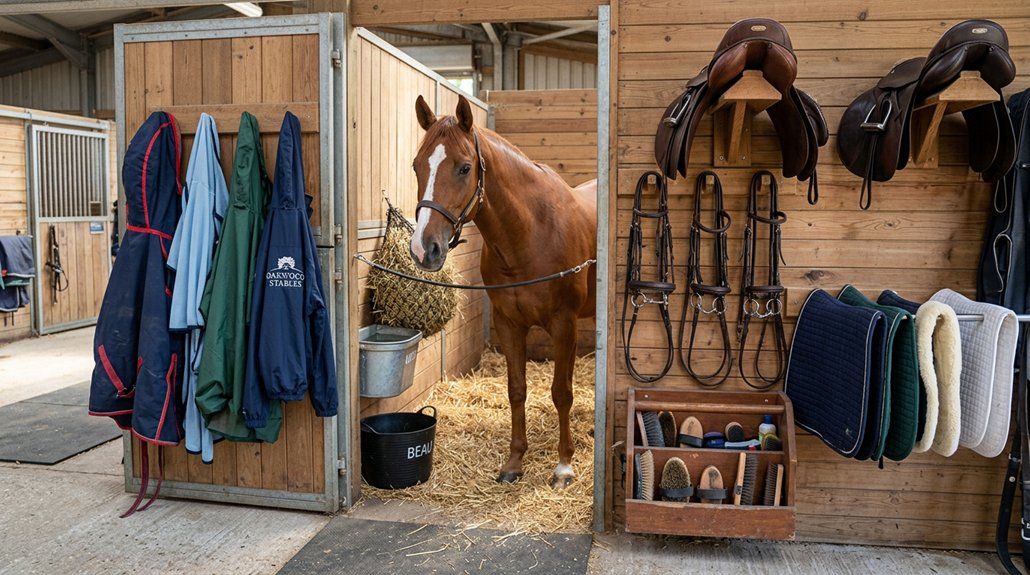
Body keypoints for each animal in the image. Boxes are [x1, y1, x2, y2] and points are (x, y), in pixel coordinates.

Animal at [409, 94, 597, 489]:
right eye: (417, 166)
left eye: (464, 168)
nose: (423, 249)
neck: (532, 231)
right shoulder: (509, 323)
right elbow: (517, 389)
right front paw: (514, 462)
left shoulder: (564, 323)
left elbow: (561, 393)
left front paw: (563, 466)